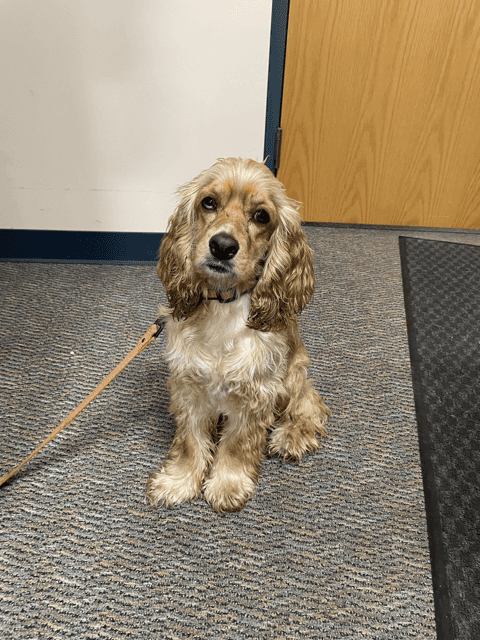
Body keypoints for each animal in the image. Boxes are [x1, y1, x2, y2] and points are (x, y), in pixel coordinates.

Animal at [144, 158, 328, 512]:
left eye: (261, 216)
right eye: (208, 202)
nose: (223, 246)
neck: (223, 303)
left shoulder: (255, 390)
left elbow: (237, 443)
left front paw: (228, 486)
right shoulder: (189, 384)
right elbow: (190, 441)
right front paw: (178, 482)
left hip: (293, 373)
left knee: (308, 404)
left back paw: (292, 436)